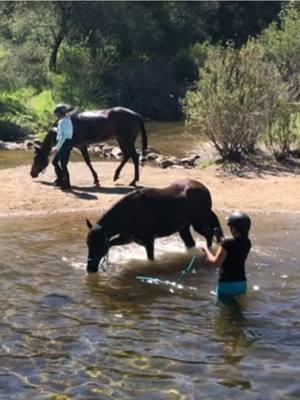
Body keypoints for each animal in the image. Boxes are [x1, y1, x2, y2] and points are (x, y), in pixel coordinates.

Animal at [85, 180, 221, 274]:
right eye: (88, 244)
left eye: (99, 245)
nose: (90, 268)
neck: (130, 212)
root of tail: (204, 188)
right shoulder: (127, 238)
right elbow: (111, 244)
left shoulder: (149, 241)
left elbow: (150, 259)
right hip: (184, 228)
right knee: (191, 242)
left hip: (198, 223)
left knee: (209, 234)